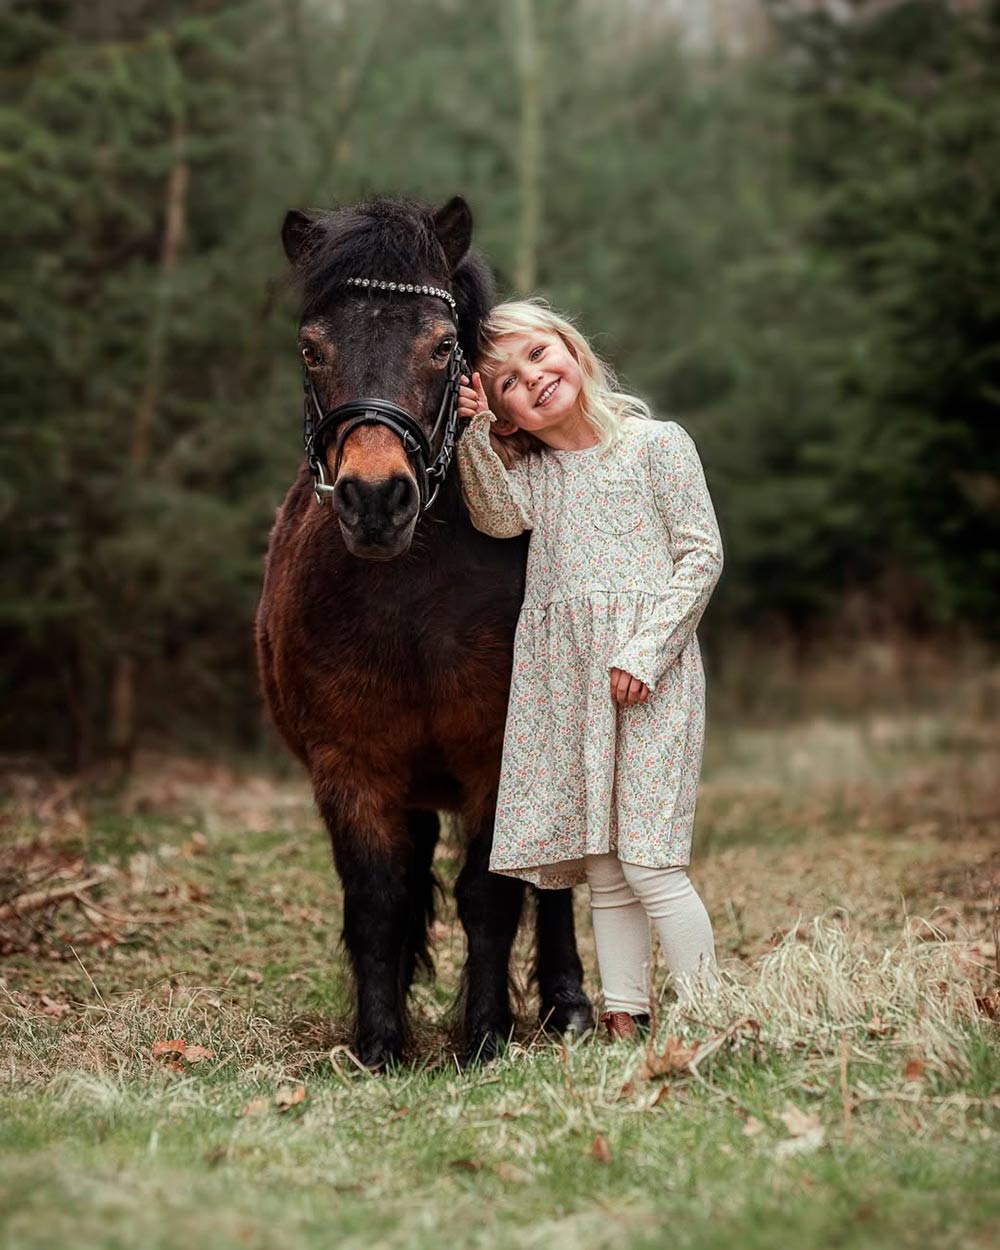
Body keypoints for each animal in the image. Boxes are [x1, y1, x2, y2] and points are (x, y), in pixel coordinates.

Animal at [255, 195, 593, 1068]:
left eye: (443, 345)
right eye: (311, 348)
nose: (376, 500)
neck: (415, 603)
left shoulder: (500, 761)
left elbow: (491, 895)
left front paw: (487, 1035)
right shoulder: (350, 766)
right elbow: (379, 895)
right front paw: (379, 1043)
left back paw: (570, 1003)